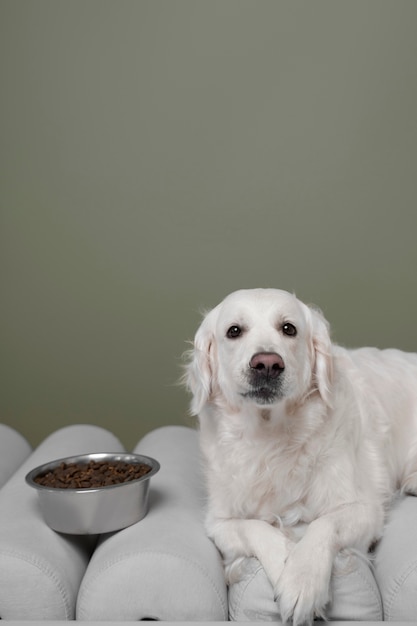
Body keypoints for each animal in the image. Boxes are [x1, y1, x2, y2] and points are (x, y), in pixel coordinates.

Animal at [184, 288, 416, 624]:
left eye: (288, 329)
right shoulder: (219, 522)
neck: (271, 438)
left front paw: (302, 580)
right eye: (234, 331)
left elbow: (324, 525)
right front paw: (284, 562)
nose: (267, 364)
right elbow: (255, 528)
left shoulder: (365, 508)